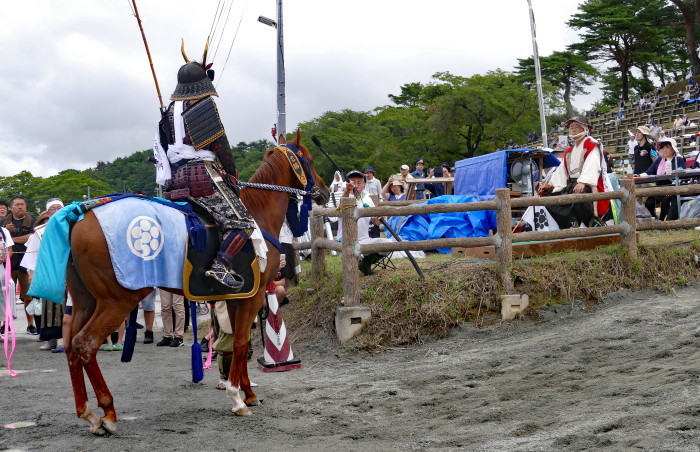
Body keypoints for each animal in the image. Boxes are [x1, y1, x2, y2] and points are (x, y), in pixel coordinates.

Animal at [65, 132, 328, 436]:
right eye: (310, 160)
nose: (323, 190)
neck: (258, 215)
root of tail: (81, 215)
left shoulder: (239, 297)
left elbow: (238, 344)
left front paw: (248, 392)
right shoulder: (254, 295)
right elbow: (240, 344)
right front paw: (237, 398)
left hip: (85, 300)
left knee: (71, 346)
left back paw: (88, 414)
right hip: (117, 300)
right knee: (85, 345)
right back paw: (107, 413)